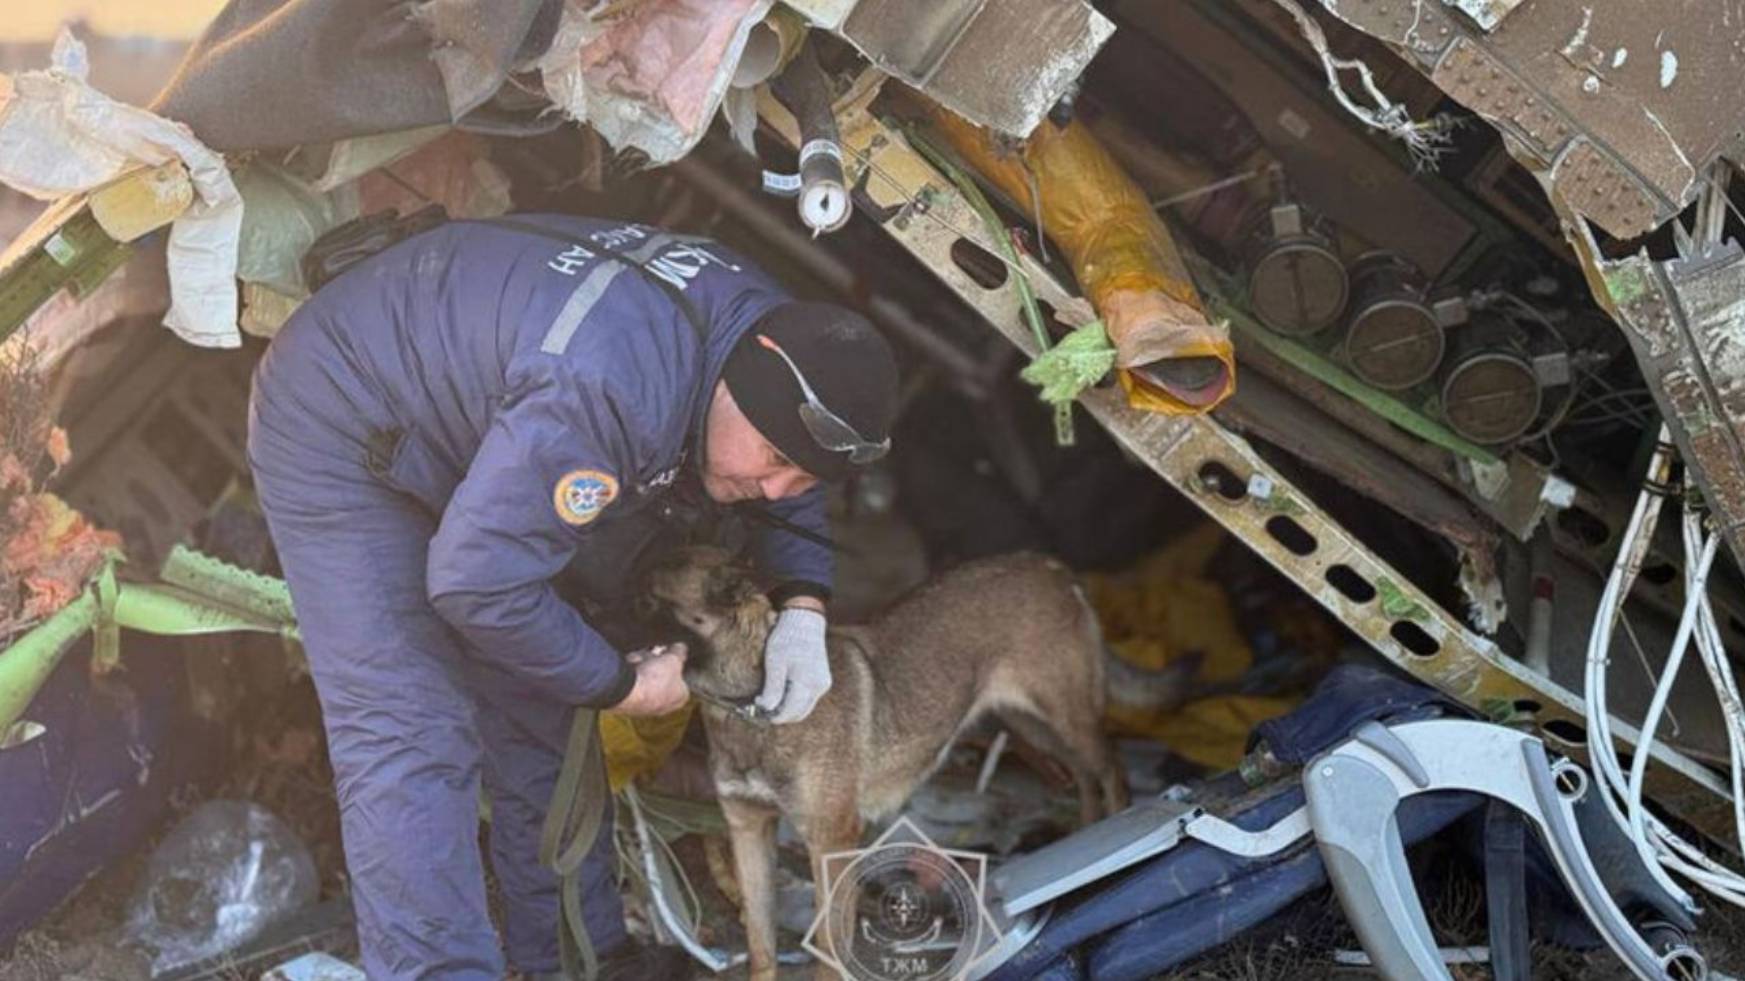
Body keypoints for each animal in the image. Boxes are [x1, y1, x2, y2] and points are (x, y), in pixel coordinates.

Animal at [649, 544, 1123, 970]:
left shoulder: (831, 840)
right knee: (1083, 775)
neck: (752, 705)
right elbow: (761, 945)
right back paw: (1089, 830)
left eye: (648, 596)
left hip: (1066, 718)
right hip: (1030, 724)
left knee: (1111, 769)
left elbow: (828, 943)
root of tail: (1050, 566)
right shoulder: (748, 830)